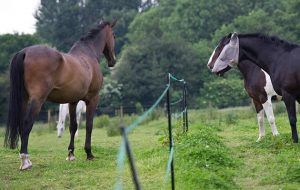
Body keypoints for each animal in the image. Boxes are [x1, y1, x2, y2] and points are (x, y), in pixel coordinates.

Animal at [4, 20, 117, 169]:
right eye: (114, 36)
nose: (113, 61)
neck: (88, 55)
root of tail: (25, 52)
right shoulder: (92, 99)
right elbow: (89, 125)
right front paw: (89, 154)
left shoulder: (73, 101)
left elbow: (73, 126)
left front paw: (71, 154)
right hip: (37, 100)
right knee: (27, 124)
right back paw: (26, 161)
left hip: (23, 99)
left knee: (22, 124)